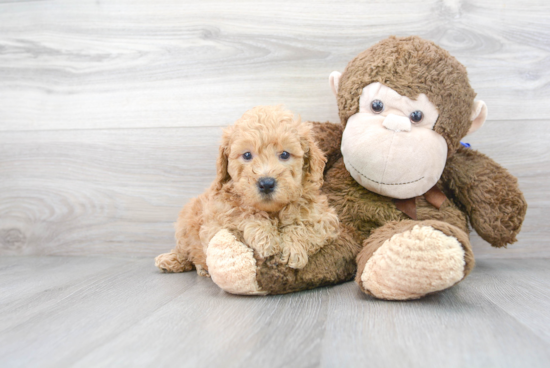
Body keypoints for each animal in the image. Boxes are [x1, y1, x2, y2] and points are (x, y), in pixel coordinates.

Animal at [153, 105, 338, 278]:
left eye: (285, 154)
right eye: (247, 155)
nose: (266, 184)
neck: (273, 211)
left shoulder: (324, 217)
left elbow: (306, 226)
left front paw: (293, 247)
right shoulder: (216, 218)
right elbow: (243, 212)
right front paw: (266, 237)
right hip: (185, 225)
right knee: (185, 251)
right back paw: (172, 261)